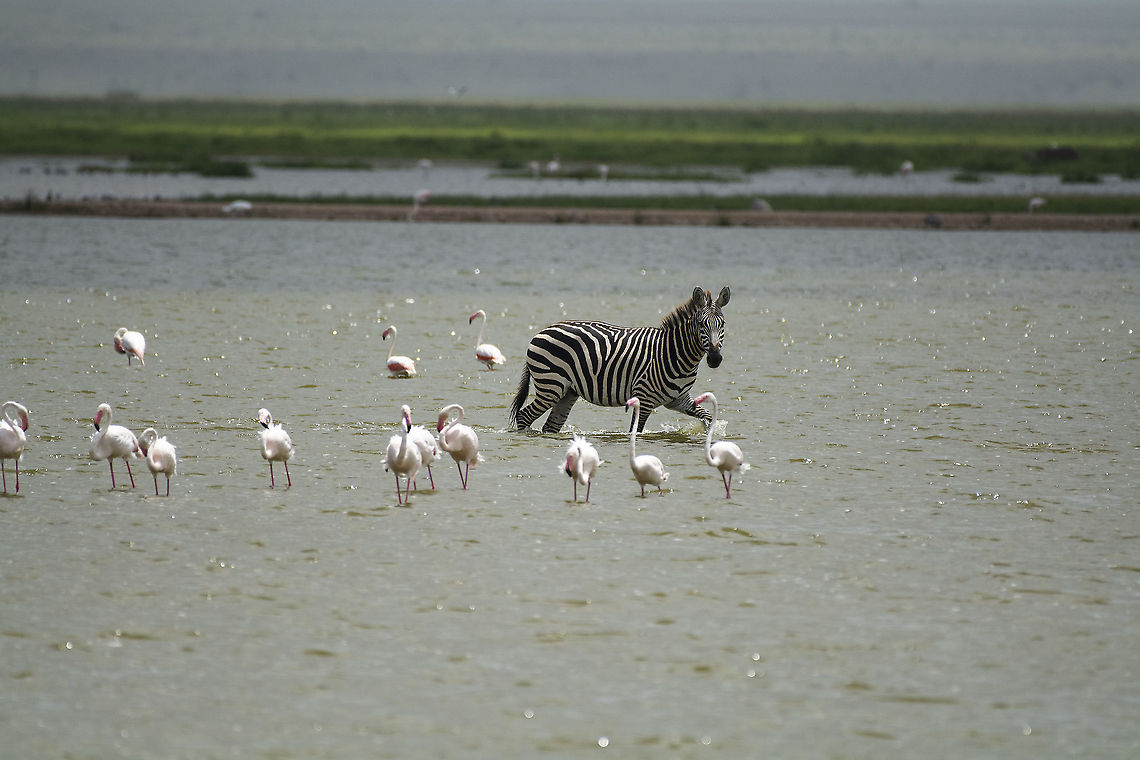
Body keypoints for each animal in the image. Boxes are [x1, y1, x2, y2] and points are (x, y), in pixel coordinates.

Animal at [509, 286, 731, 433]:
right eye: (701, 324)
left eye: (723, 324)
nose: (714, 358)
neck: (672, 352)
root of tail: (540, 331)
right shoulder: (644, 397)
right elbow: (636, 432)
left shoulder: (679, 400)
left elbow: (708, 417)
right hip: (551, 386)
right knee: (524, 415)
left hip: (567, 392)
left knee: (550, 426)